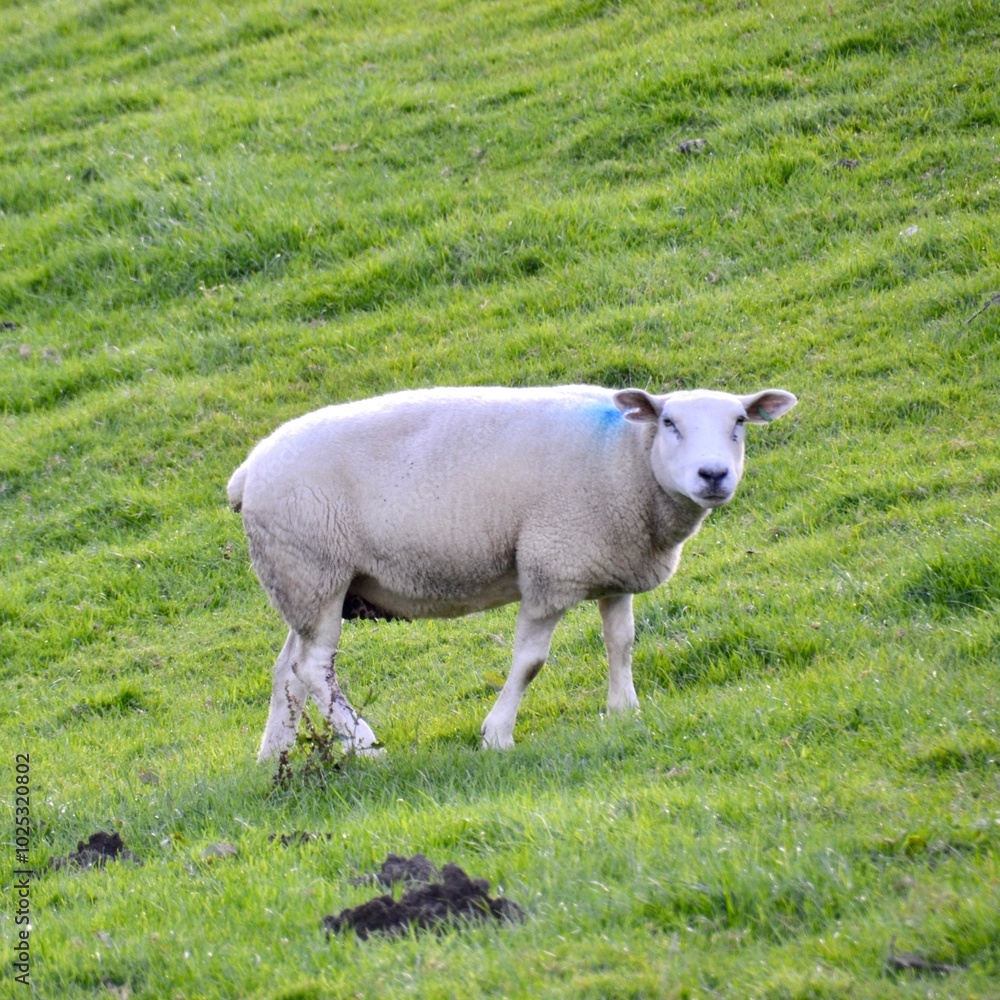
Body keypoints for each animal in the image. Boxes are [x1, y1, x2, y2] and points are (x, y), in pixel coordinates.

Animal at [227, 384, 797, 760]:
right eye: (671, 423)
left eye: (739, 424)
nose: (713, 475)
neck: (624, 459)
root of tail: (249, 469)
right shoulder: (551, 566)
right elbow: (530, 662)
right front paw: (497, 735)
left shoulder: (614, 566)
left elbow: (622, 642)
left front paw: (624, 712)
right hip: (313, 568)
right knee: (314, 667)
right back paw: (365, 744)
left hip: (305, 581)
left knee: (288, 668)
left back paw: (274, 756)